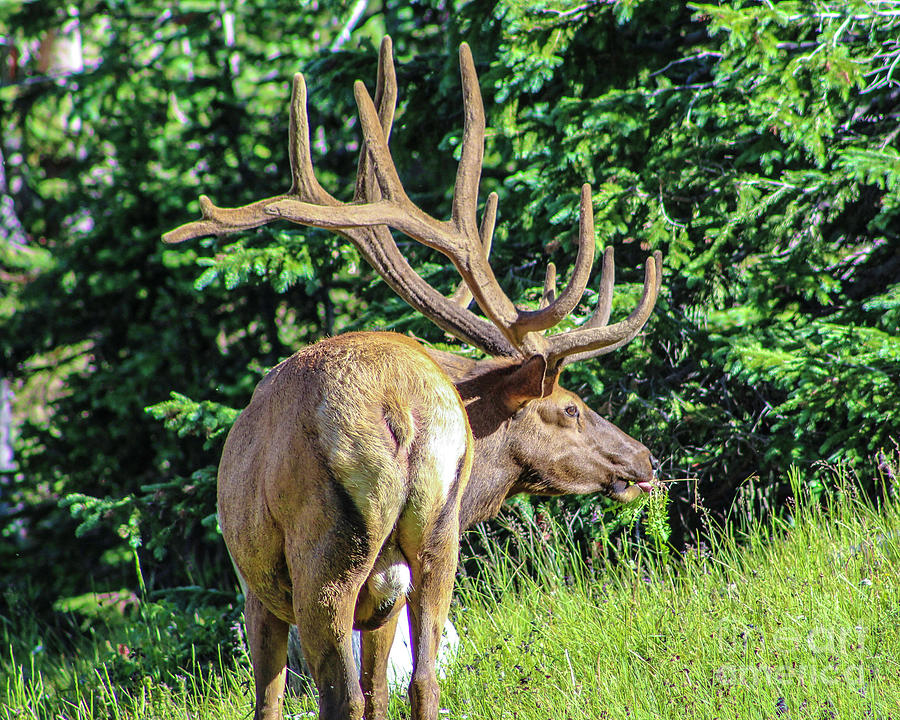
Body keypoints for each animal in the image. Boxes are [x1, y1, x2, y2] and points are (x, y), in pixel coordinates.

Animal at [165, 38, 664, 720]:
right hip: (431, 545)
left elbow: (271, 702)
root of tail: (400, 410)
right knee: (420, 681)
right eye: (571, 407)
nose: (643, 459)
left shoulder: (257, 591)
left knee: (344, 697)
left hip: (325, 561)